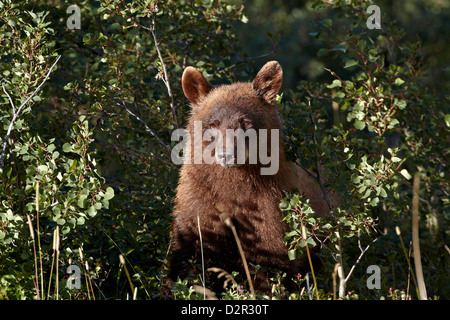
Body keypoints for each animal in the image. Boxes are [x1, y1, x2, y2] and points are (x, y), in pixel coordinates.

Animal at [168, 60, 330, 292]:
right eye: (213, 123)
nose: (227, 154)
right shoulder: (199, 196)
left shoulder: (269, 205)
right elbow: (191, 248)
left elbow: (270, 256)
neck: (234, 185)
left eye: (245, 123)